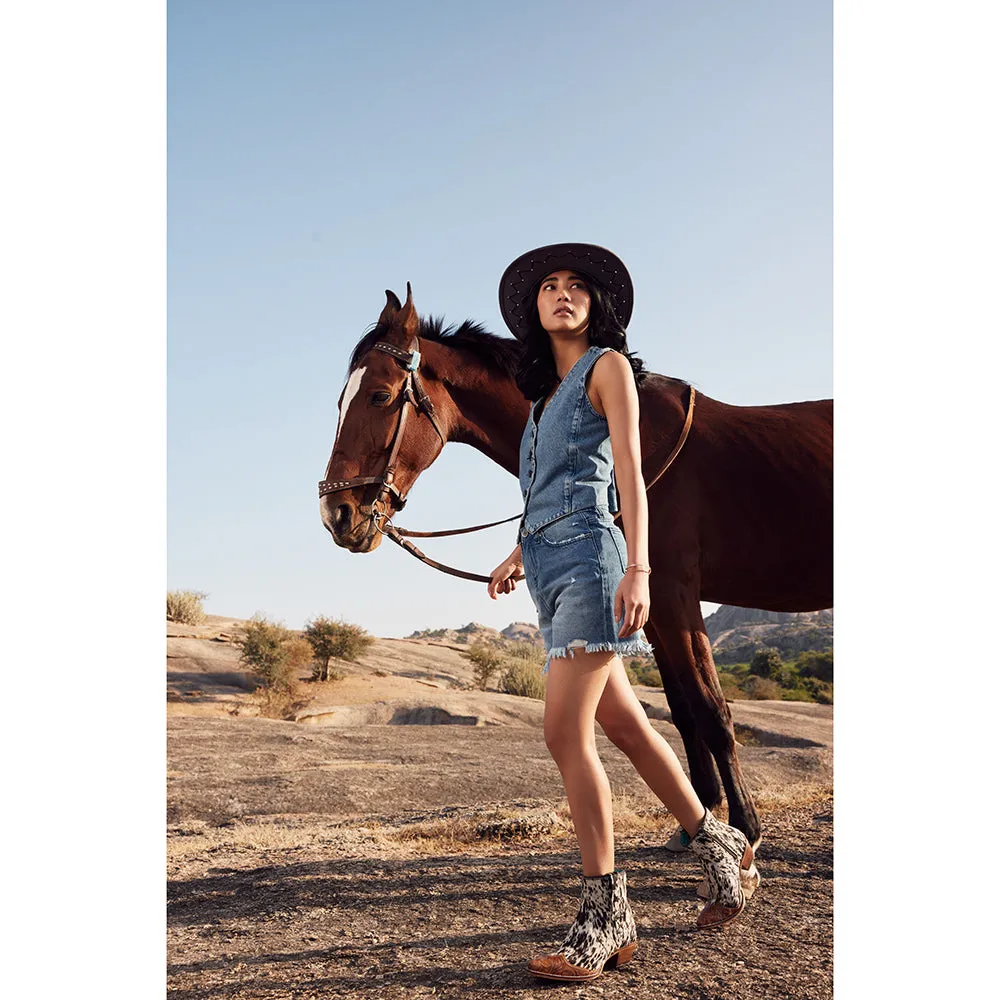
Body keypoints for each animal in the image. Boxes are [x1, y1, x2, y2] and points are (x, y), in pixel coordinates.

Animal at [318, 286, 828, 848]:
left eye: (380, 396)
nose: (336, 514)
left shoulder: (675, 595)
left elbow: (711, 709)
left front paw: (744, 828)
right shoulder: (648, 608)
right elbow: (681, 711)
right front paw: (701, 820)